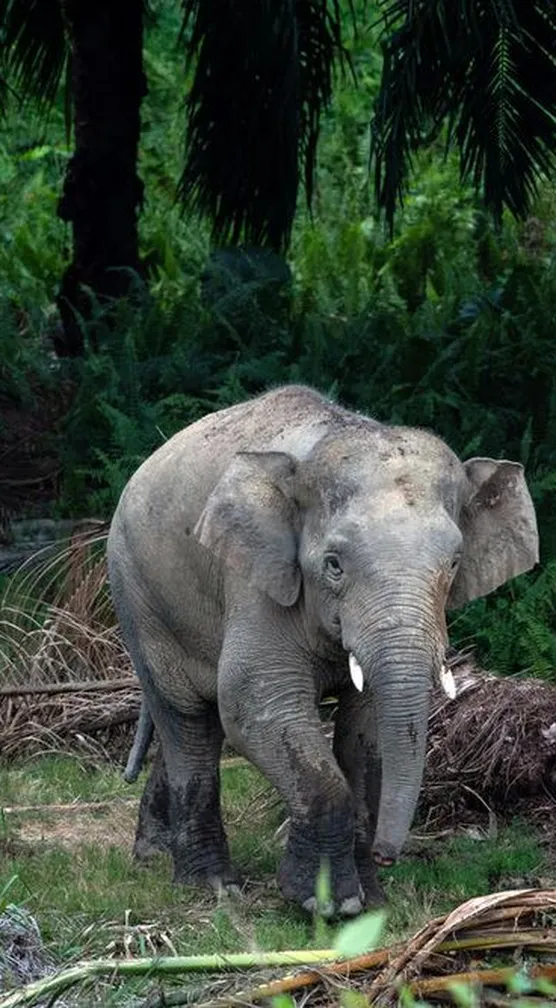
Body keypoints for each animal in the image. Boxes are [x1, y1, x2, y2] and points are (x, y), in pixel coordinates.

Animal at [108, 384, 538, 917]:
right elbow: (256, 707)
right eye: (333, 564)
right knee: (188, 719)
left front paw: (369, 900)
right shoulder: (258, 581)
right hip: (137, 593)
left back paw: (153, 856)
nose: (388, 854)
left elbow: (366, 731)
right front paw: (327, 903)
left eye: (455, 562)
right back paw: (211, 886)